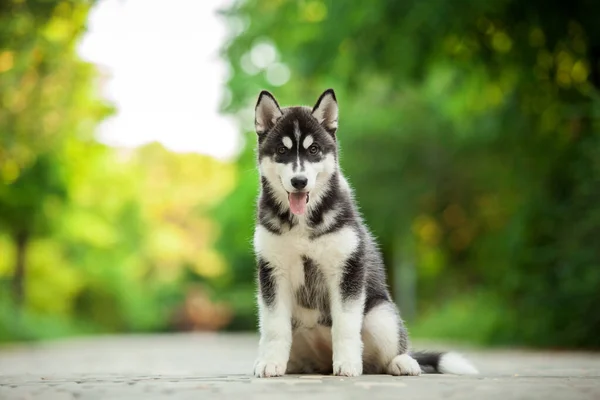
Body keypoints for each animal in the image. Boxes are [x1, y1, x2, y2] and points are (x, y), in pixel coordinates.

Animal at [252, 88, 478, 378]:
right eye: (282, 150)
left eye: (314, 149)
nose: (299, 181)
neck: (303, 221)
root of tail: (323, 361)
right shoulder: (272, 272)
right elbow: (274, 327)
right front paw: (271, 362)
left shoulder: (347, 269)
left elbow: (346, 326)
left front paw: (348, 363)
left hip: (381, 315)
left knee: (385, 356)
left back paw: (401, 362)